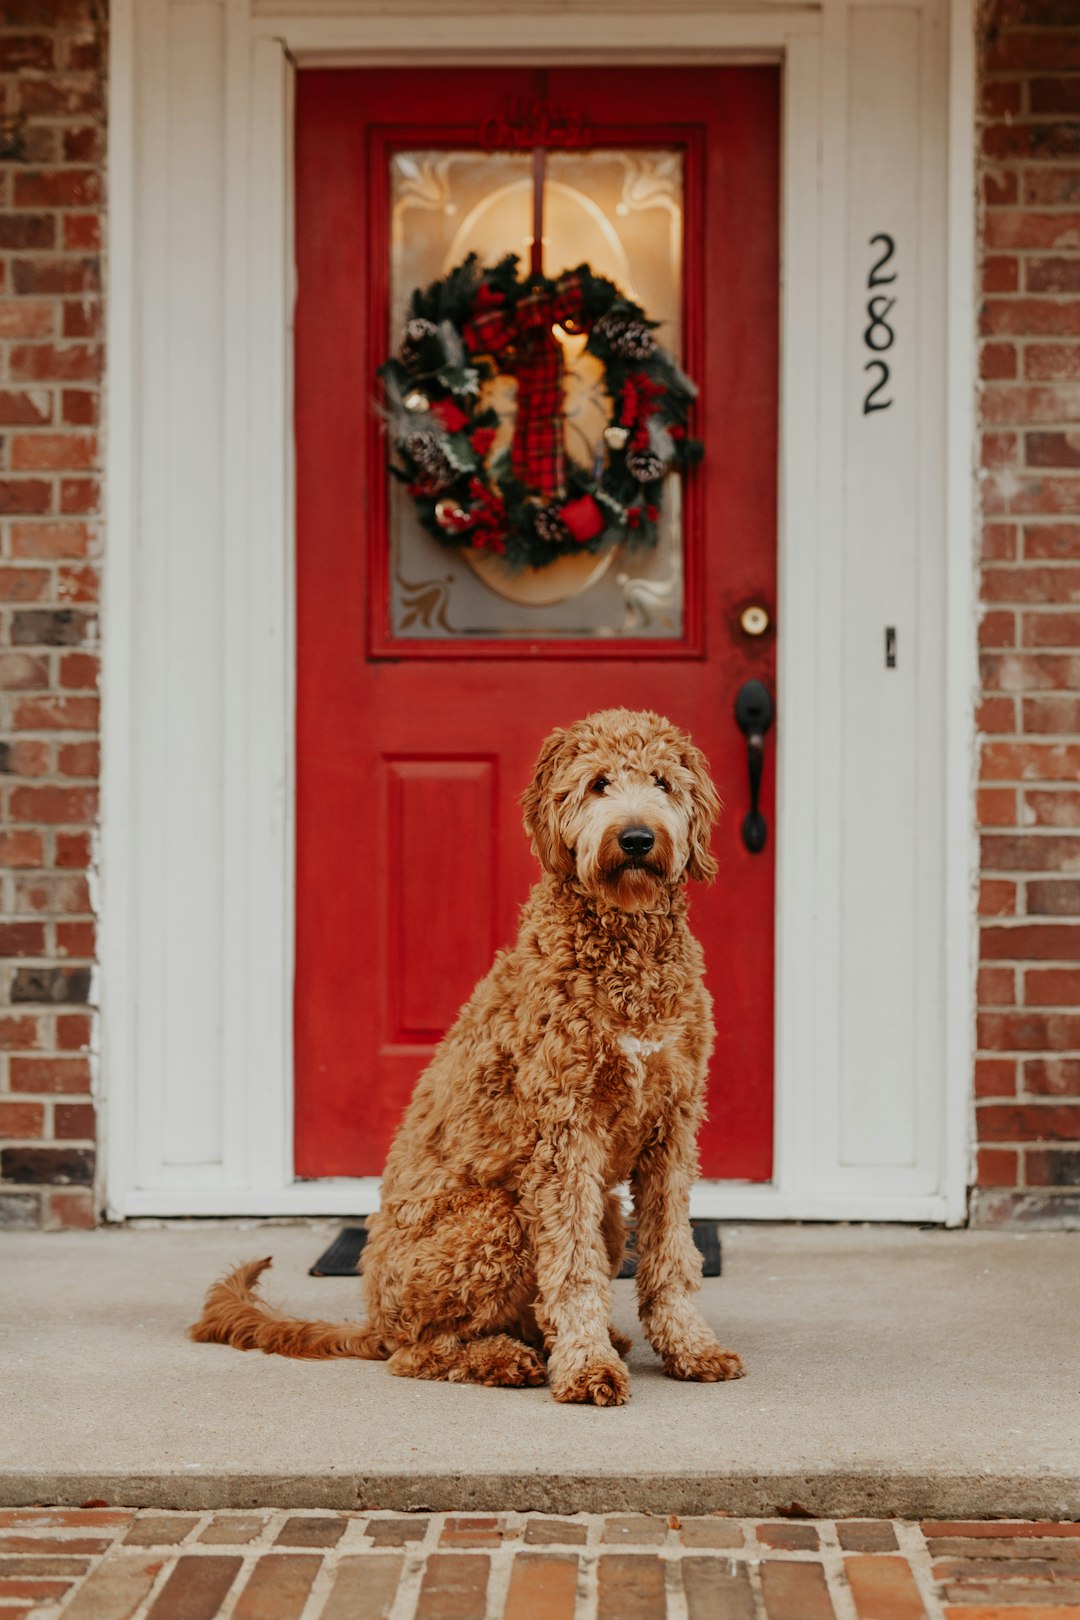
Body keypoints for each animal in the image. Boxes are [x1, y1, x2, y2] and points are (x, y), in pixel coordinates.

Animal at [191, 709, 744, 1406]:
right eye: (597, 784)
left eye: (663, 783)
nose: (638, 838)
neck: (626, 948)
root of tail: (374, 1319)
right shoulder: (563, 1136)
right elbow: (572, 1270)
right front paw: (586, 1368)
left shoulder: (672, 1126)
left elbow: (672, 1256)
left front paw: (690, 1349)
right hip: (497, 1219)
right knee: (422, 1351)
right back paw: (506, 1358)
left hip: (608, 1215)